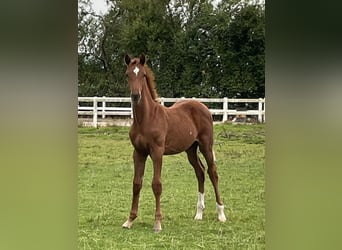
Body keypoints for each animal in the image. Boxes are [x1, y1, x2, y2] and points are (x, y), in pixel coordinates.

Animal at [121, 53, 226, 232]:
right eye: (128, 74)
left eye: (142, 75)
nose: (135, 96)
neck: (146, 119)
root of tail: (203, 106)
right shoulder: (139, 153)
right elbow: (136, 183)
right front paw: (130, 220)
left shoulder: (157, 152)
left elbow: (156, 185)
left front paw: (157, 223)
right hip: (191, 149)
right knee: (200, 172)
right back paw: (199, 213)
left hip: (206, 145)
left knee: (213, 173)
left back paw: (221, 214)